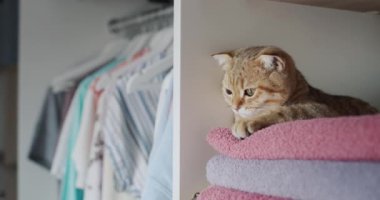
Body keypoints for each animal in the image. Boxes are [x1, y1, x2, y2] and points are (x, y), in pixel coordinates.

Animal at [212, 46, 378, 139]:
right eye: (228, 91)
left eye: (250, 92)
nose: (235, 107)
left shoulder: (322, 111)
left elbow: (286, 112)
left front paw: (247, 122)